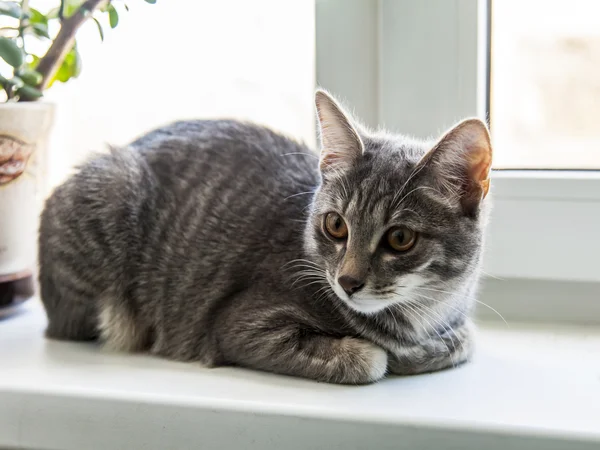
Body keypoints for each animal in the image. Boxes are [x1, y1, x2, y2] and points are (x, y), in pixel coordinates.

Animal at [41, 90, 492, 384]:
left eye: (400, 238)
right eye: (336, 225)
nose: (347, 282)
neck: (422, 314)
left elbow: (464, 339)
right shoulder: (242, 325)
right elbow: (371, 361)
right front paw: (390, 354)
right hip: (113, 191)